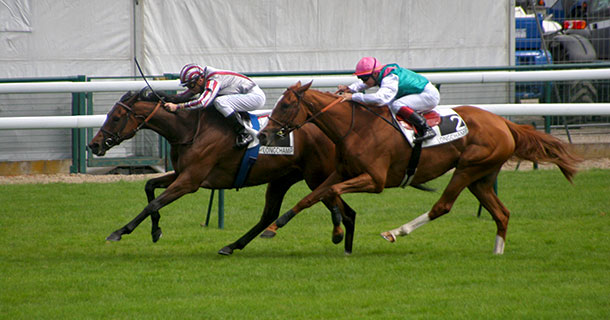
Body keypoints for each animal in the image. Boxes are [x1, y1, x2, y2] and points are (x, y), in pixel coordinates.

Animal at [85, 90, 356, 255]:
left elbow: (153, 203)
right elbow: (149, 186)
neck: (189, 130)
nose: (94, 145)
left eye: (116, 117)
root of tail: (333, 130)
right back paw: (232, 246)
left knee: (343, 207)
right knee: (270, 215)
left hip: (316, 176)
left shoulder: (190, 181)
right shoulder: (181, 174)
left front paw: (120, 232)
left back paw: (342, 238)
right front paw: (155, 230)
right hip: (282, 178)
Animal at [256, 81, 580, 254]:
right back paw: (497, 252)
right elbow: (311, 196)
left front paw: (337, 230)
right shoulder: (342, 171)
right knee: (501, 213)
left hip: (467, 169)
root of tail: (504, 122)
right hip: (482, 177)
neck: (356, 127)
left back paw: (396, 231)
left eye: (286, 105)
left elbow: (331, 192)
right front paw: (273, 227)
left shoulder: (374, 180)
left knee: (443, 206)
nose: (263, 135)